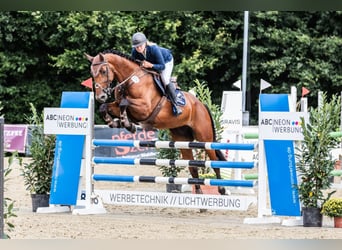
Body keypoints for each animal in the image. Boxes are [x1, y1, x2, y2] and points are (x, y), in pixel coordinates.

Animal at [85, 49, 227, 195]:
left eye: (103, 71)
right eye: (92, 73)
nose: (100, 96)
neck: (131, 81)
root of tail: (201, 104)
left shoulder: (144, 108)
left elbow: (124, 103)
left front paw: (128, 124)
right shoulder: (117, 105)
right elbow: (105, 107)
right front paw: (116, 123)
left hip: (204, 137)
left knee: (214, 161)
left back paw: (222, 189)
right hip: (182, 138)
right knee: (192, 166)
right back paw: (198, 193)